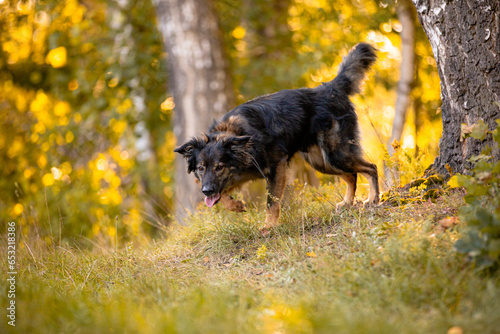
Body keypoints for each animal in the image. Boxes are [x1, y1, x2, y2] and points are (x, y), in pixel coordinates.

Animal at [175, 43, 378, 228]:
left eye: (219, 167)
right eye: (201, 168)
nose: (206, 191)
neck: (240, 138)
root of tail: (330, 88)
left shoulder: (276, 168)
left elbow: (271, 202)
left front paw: (269, 227)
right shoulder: (235, 177)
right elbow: (223, 195)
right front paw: (236, 205)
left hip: (336, 155)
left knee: (371, 168)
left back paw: (373, 199)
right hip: (322, 162)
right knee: (352, 176)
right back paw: (348, 202)